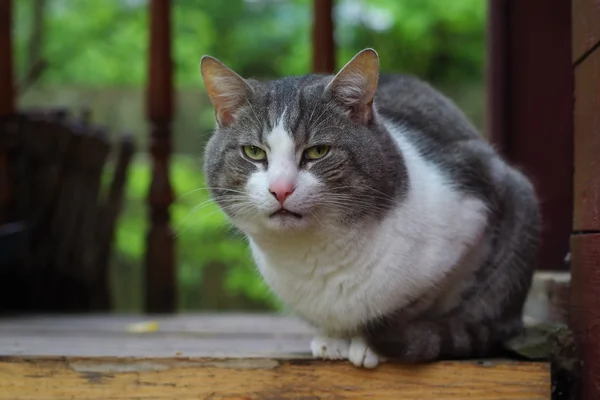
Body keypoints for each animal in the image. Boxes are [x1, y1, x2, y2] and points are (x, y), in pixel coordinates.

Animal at [199, 47, 540, 368]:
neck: (317, 256)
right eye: (253, 152)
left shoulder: (472, 215)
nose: (281, 189)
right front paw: (332, 338)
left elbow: (411, 305)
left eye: (318, 152)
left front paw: (368, 343)